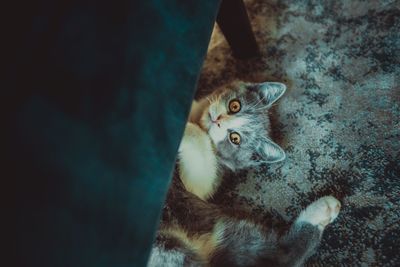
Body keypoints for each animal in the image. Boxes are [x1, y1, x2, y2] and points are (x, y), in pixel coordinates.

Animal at [147, 81, 340, 267]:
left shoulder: (202, 185)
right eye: (234, 106)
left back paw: (324, 209)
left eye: (235, 138)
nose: (217, 121)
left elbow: (199, 153)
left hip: (174, 241)